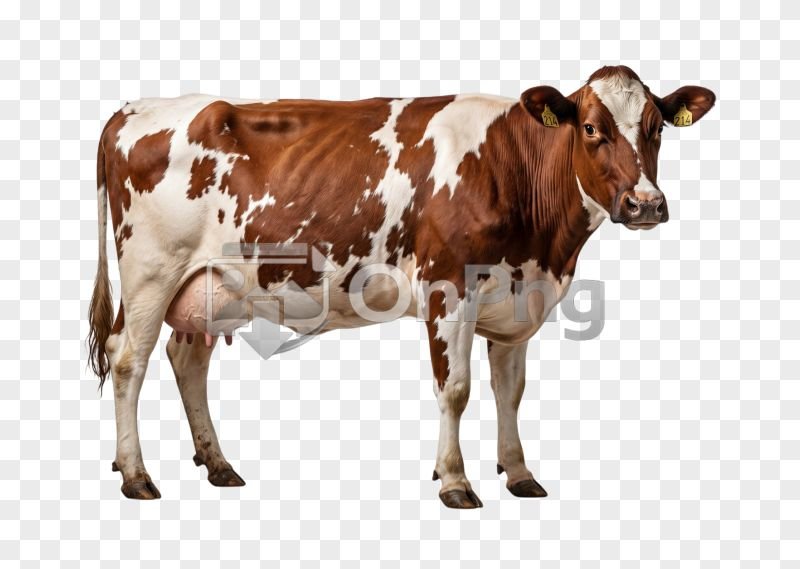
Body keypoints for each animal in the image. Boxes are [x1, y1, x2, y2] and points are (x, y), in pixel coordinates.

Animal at [88, 66, 715, 508]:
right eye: (590, 128)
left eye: (656, 127)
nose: (645, 204)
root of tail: (132, 109)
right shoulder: (449, 288)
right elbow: (456, 389)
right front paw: (455, 481)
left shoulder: (518, 296)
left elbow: (510, 392)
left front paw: (519, 473)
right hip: (150, 271)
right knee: (128, 360)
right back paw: (136, 474)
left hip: (211, 286)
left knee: (187, 360)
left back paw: (218, 465)